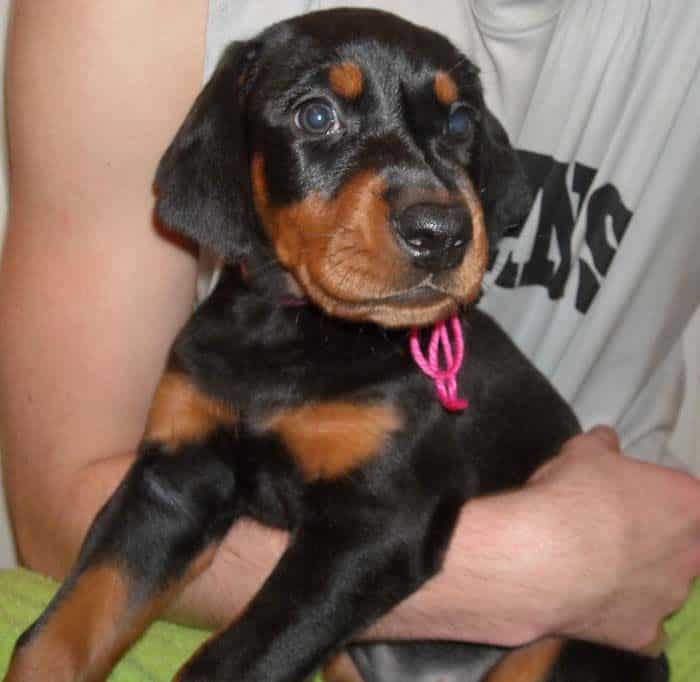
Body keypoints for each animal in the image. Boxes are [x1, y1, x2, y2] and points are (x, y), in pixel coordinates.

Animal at [6, 9, 672, 680]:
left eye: (461, 123)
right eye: (317, 116)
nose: (443, 231)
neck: (295, 333)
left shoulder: (376, 524)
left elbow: (232, 658)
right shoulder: (172, 479)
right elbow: (60, 630)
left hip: (561, 645)